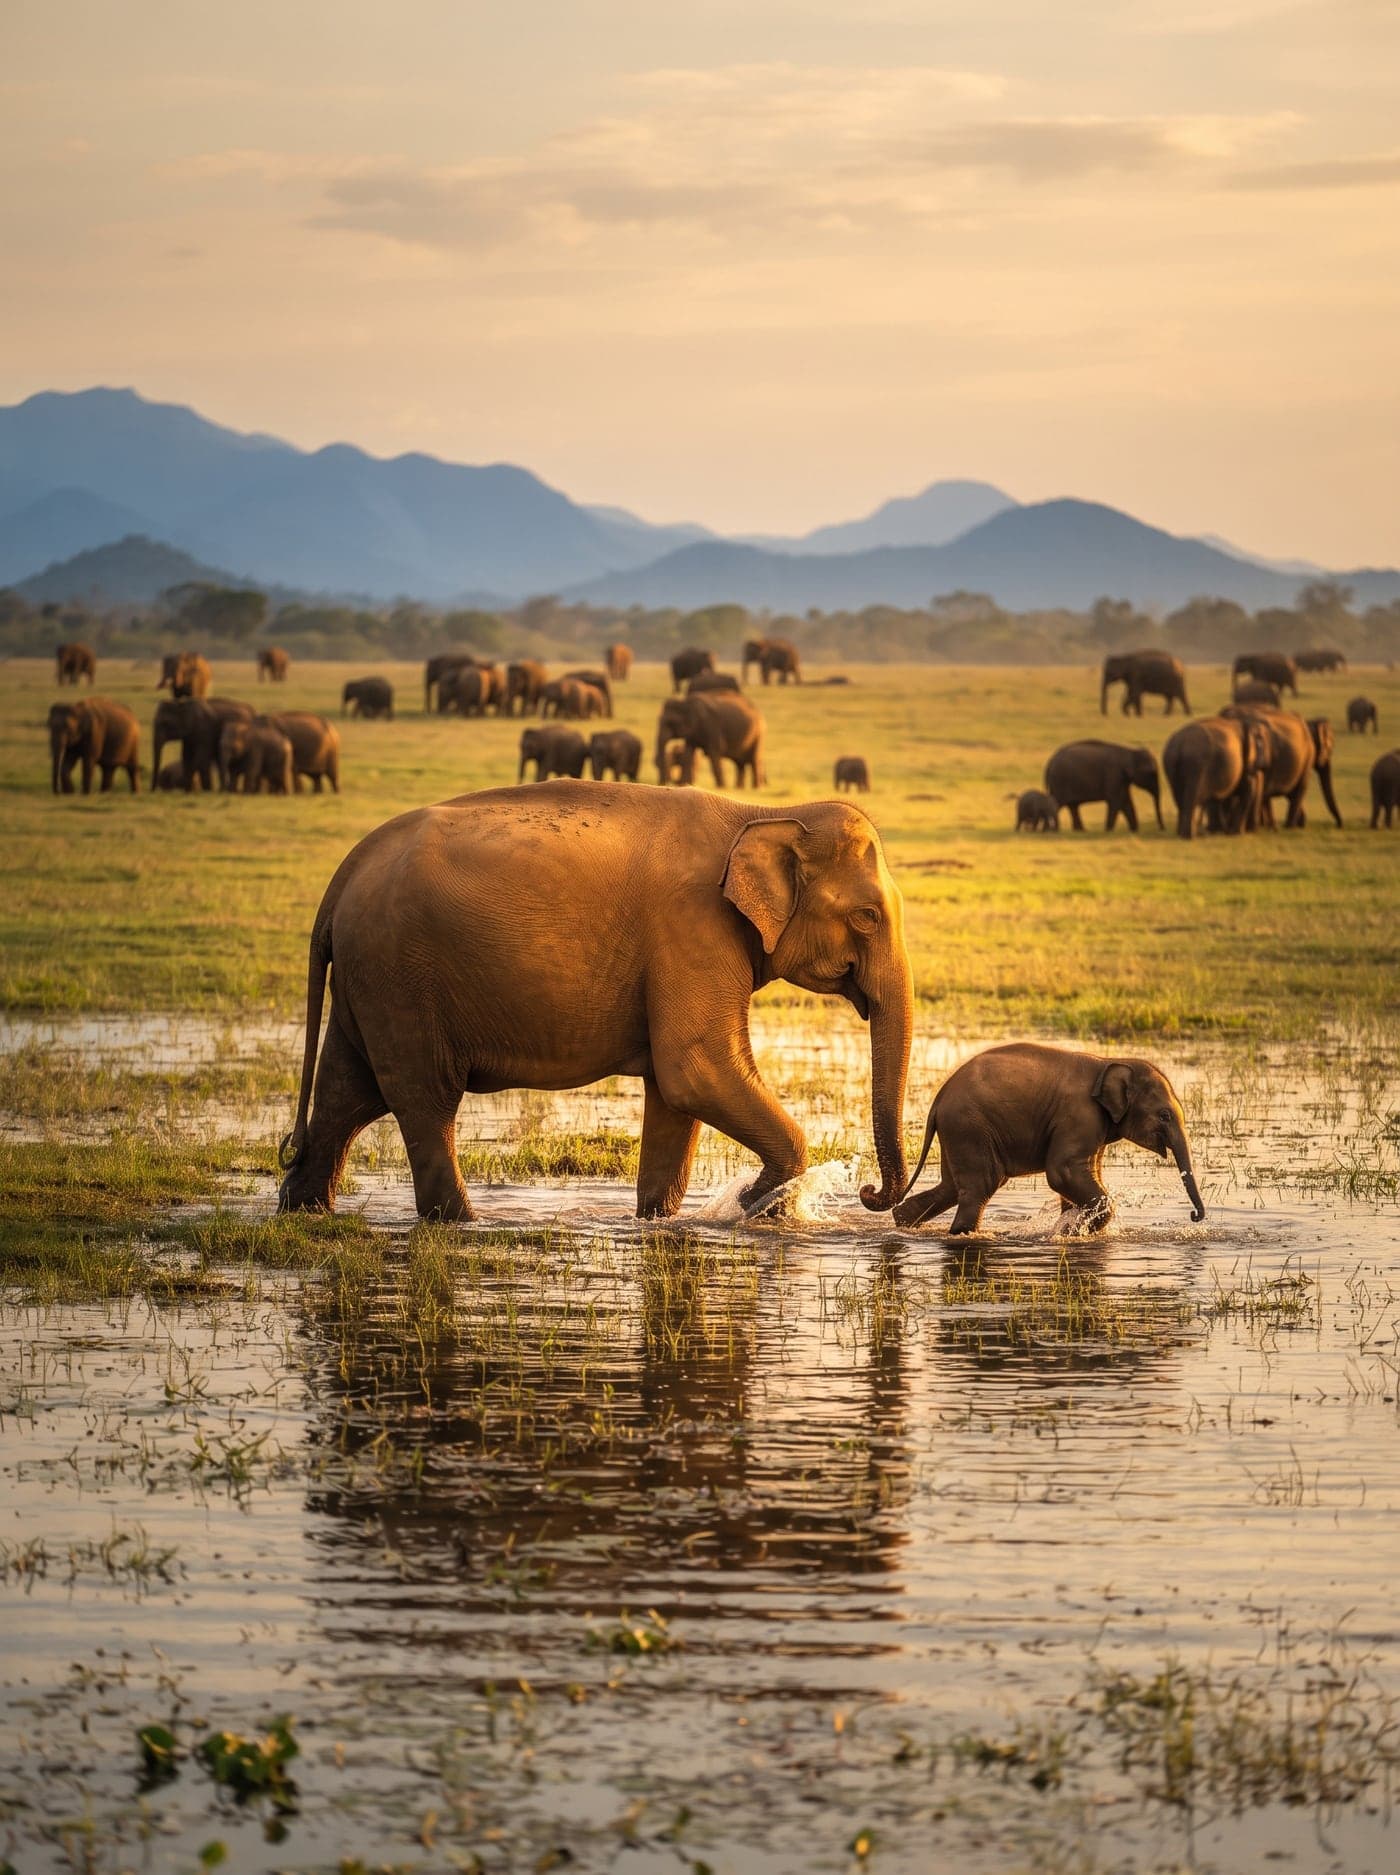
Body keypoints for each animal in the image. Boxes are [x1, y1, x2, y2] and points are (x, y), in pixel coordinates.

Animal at [277, 787, 912, 1225]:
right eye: (867, 916)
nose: (868, 1193)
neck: (763, 812)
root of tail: (341, 878)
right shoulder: (693, 928)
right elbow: (696, 1070)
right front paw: (761, 1202)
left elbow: (677, 1098)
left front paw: (660, 1220)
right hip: (399, 978)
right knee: (425, 1102)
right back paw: (462, 1223)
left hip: (372, 981)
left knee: (346, 1096)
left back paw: (305, 1211)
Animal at [890, 1043, 1203, 1235]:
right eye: (1164, 1115)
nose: (1194, 1216)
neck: (1109, 1063)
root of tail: (938, 1099)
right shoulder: (1079, 1115)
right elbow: (1063, 1172)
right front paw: (1071, 1231)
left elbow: (1080, 1177)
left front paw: (1070, 1228)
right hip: (969, 1127)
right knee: (982, 1185)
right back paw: (963, 1233)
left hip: (958, 1131)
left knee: (952, 1187)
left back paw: (902, 1222)